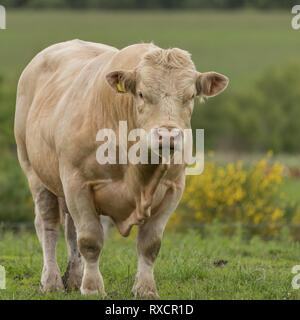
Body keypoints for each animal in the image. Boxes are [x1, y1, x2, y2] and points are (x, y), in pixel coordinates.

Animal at [13, 39, 227, 298]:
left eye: (191, 95)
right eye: (142, 94)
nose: (167, 136)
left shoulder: (173, 188)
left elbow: (149, 244)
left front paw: (145, 288)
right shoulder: (77, 182)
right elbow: (90, 240)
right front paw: (92, 288)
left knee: (70, 230)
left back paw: (73, 278)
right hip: (34, 172)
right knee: (48, 226)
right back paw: (51, 281)